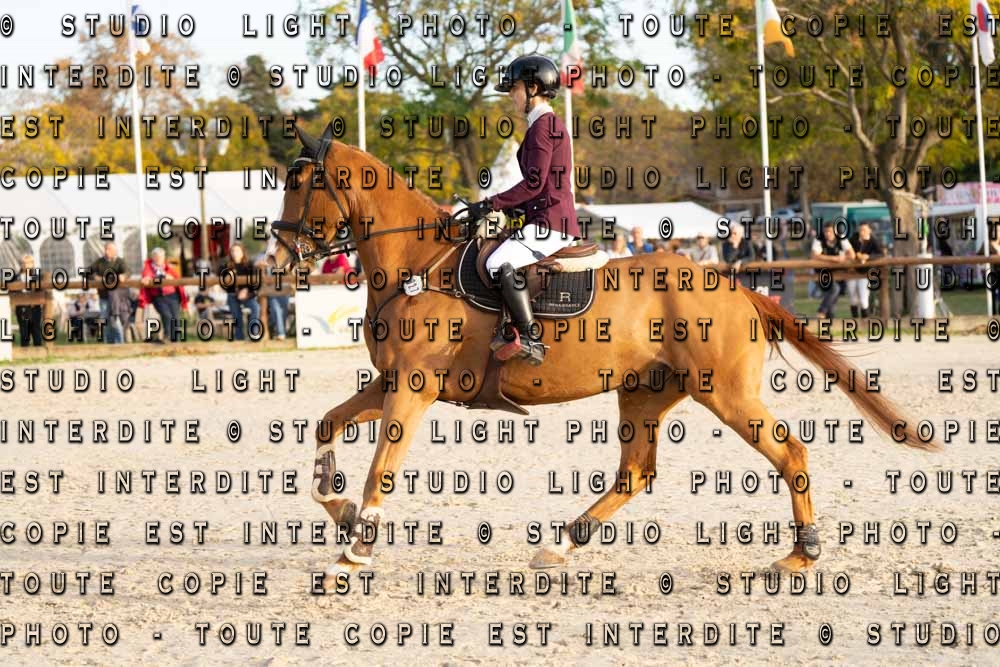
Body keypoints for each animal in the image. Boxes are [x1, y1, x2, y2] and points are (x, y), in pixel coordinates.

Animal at [265, 123, 941, 588]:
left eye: (301, 183)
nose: (275, 261)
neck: (417, 263)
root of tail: (735, 285)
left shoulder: (413, 387)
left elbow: (381, 466)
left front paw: (352, 554)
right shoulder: (389, 383)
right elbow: (326, 425)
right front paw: (341, 509)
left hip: (725, 393)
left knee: (789, 449)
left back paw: (802, 554)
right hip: (645, 392)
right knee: (634, 473)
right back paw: (559, 546)